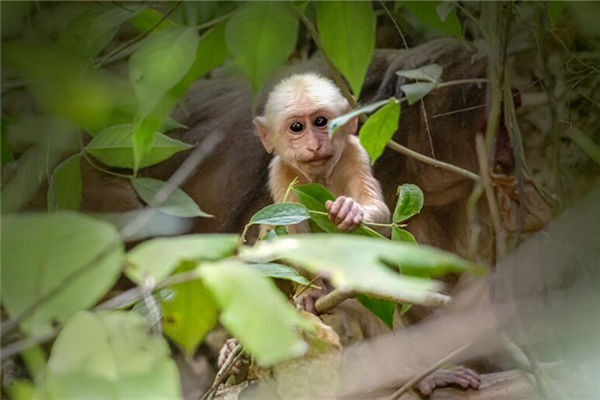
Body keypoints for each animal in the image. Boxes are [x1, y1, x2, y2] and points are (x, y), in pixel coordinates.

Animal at [252, 73, 390, 233]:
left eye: (320, 121)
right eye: (296, 127)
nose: (314, 146)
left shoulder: (355, 154)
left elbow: (380, 213)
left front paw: (349, 209)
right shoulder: (281, 172)